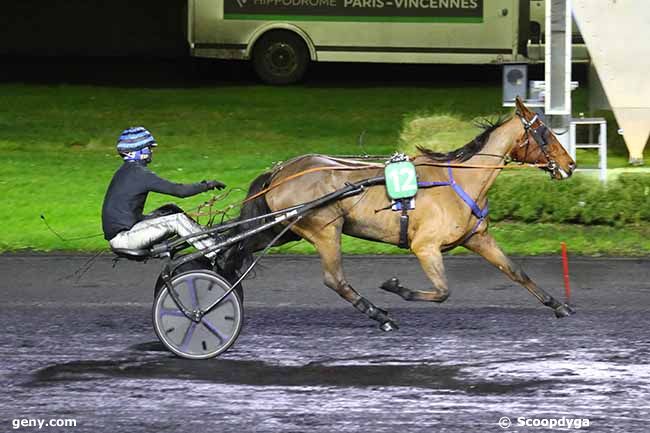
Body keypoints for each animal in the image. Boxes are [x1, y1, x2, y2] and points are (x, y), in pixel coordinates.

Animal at [221, 96, 572, 330]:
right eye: (545, 133)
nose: (569, 165)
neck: (461, 180)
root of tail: (280, 172)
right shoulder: (425, 246)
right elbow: (442, 292)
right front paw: (394, 287)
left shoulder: (477, 238)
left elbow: (515, 271)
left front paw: (558, 305)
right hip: (324, 229)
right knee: (335, 279)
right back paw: (379, 314)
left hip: (281, 229)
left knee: (235, 247)